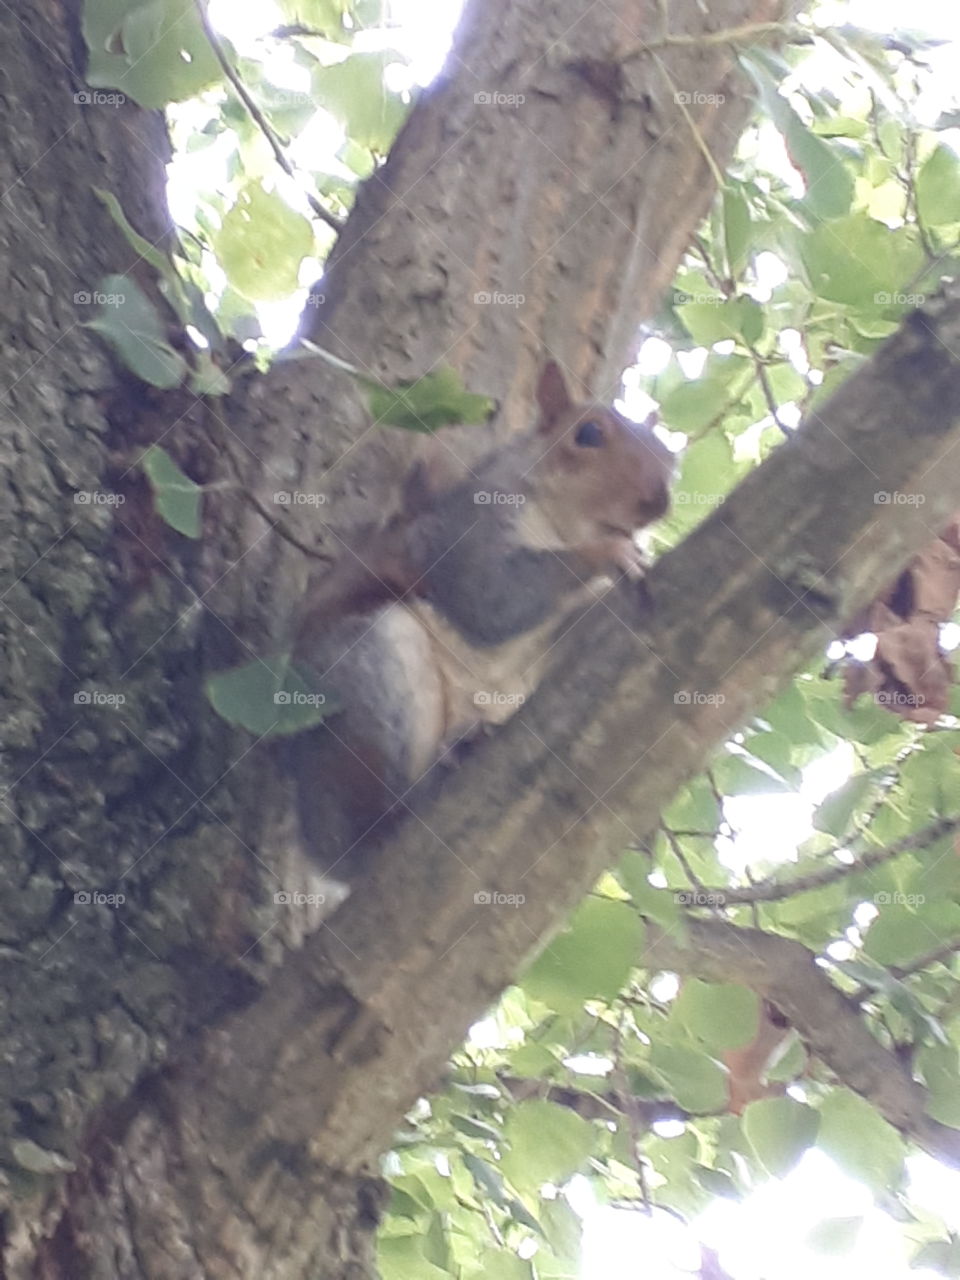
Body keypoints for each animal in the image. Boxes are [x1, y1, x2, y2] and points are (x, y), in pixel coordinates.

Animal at [289, 360, 670, 880]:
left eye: (670, 456)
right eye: (589, 433)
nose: (661, 500)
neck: (564, 523)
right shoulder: (467, 532)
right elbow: (490, 600)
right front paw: (606, 552)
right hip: (367, 672)